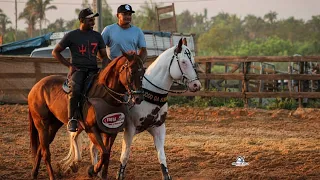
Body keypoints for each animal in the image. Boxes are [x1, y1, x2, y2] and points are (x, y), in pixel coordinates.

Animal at [27, 52, 145, 180]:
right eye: (132, 71)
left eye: (143, 71)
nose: (139, 98)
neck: (105, 96)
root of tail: (36, 86)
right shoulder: (91, 129)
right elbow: (104, 153)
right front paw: (92, 170)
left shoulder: (111, 131)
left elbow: (107, 155)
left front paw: (101, 174)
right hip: (41, 124)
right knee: (45, 152)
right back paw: (52, 176)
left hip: (53, 126)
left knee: (41, 147)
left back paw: (34, 172)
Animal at [63, 38, 200, 179]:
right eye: (183, 62)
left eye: (193, 61)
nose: (196, 85)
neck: (149, 95)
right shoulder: (129, 129)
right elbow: (124, 156)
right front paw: (119, 175)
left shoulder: (159, 128)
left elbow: (162, 157)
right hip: (83, 124)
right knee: (74, 137)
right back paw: (74, 164)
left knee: (91, 147)